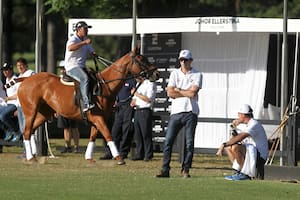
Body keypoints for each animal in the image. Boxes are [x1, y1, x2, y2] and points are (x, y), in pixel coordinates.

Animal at [17, 47, 159, 165]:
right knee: (27, 131)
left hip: (44, 114)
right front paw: (119, 158)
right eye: (141, 60)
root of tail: (25, 79)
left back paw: (32, 156)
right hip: (30, 112)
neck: (105, 86)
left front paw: (89, 158)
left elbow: (92, 137)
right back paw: (30, 157)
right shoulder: (98, 118)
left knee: (29, 131)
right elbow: (108, 135)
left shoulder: (98, 119)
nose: (157, 73)